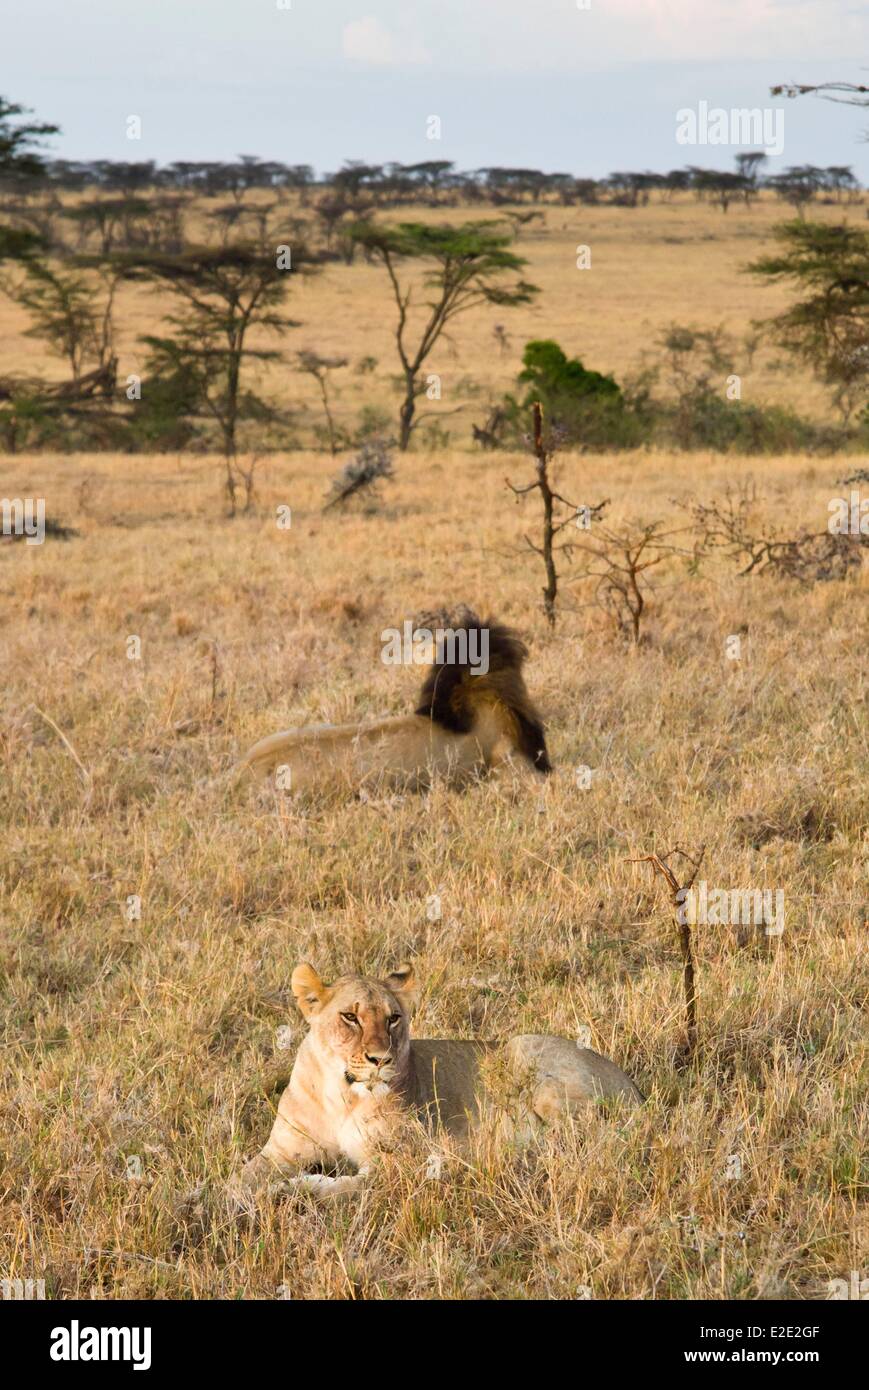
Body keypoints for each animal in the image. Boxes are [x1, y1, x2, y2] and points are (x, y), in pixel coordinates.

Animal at [233, 962, 644, 1201]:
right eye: (350, 1017)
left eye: (393, 1018)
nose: (380, 1060)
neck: (343, 1095)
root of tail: (633, 1086)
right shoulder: (280, 1152)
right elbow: (241, 1179)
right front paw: (228, 1200)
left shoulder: (402, 1163)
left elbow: (344, 1188)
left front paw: (294, 1191)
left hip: (525, 1051)